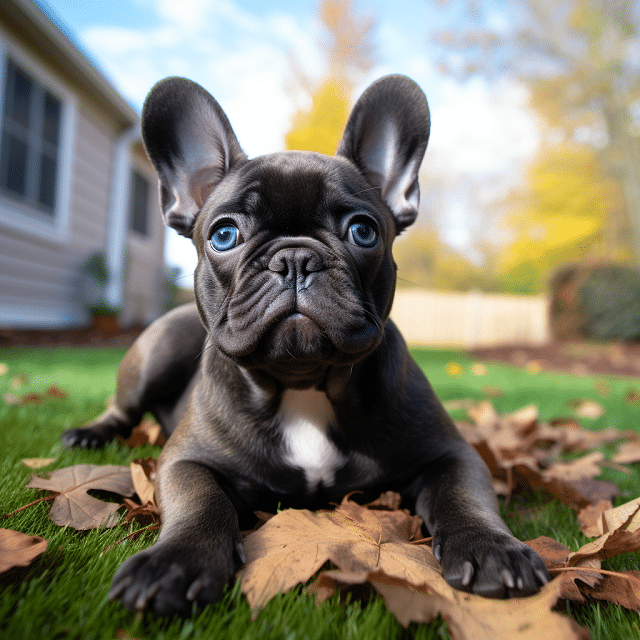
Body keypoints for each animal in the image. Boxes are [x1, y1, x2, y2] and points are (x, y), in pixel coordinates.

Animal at [61, 74, 552, 616]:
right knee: (123, 409)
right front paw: (175, 562)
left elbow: (464, 496)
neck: (304, 383)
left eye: (363, 231)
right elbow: (200, 503)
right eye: (225, 235)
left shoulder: (451, 453)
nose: (295, 258)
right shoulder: (186, 461)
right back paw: (88, 434)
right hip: (158, 348)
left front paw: (491, 548)